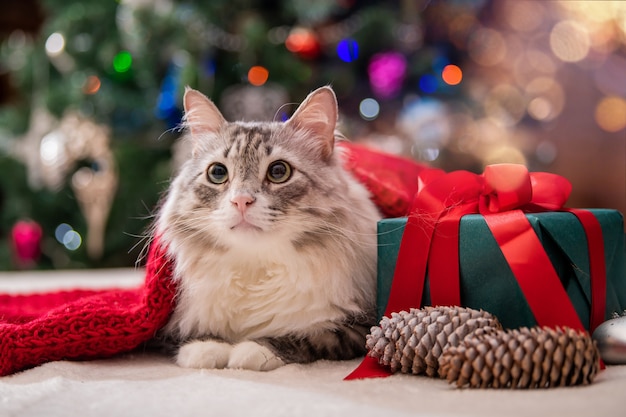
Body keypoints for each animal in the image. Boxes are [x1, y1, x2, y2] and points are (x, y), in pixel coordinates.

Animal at [156, 85, 380, 370]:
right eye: (217, 173)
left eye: (278, 171)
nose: (241, 200)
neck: (254, 268)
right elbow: (194, 336)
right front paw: (205, 348)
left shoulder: (361, 325)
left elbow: (310, 334)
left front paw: (250, 351)